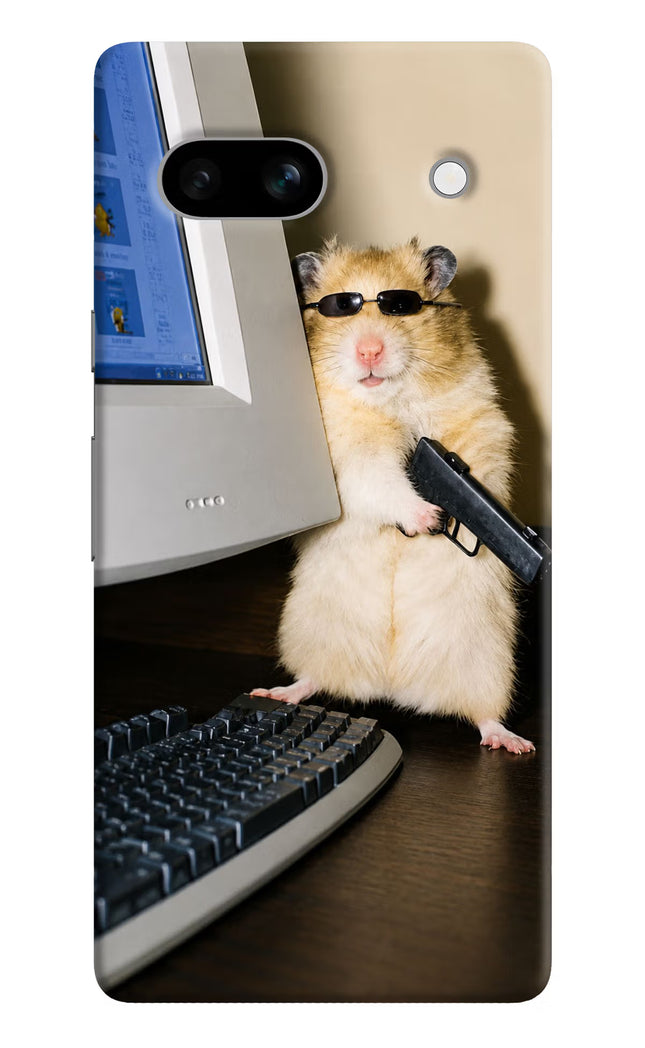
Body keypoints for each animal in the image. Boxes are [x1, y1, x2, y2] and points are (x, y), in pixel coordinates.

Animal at [252, 238, 534, 754]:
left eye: (401, 306)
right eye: (340, 308)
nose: (369, 350)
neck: (389, 401)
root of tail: (393, 686)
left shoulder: (481, 424)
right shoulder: (348, 457)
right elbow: (380, 481)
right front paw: (428, 517)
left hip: (488, 660)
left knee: (484, 714)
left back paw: (513, 742)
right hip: (311, 632)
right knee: (312, 679)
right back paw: (276, 692)